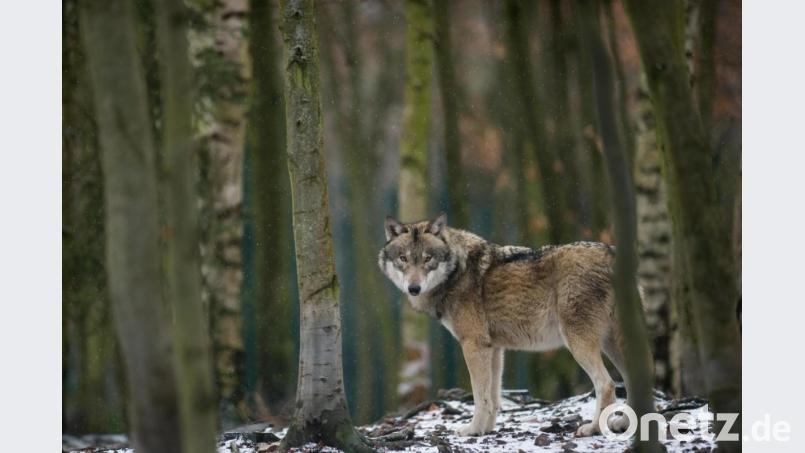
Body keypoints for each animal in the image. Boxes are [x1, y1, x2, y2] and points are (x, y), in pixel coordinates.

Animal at [378, 213, 649, 437]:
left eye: (427, 259)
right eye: (403, 259)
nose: (414, 288)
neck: (456, 273)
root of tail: (613, 255)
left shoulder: (473, 345)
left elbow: (480, 396)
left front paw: (472, 430)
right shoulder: (494, 349)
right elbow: (493, 397)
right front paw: (485, 430)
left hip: (579, 343)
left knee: (607, 384)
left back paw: (593, 429)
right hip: (612, 344)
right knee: (635, 379)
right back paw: (626, 425)